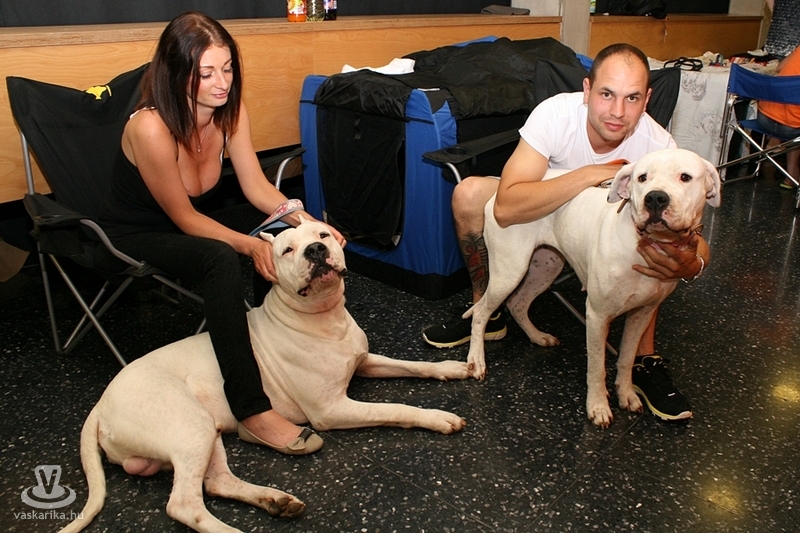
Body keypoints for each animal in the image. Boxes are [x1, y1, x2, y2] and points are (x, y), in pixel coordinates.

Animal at [61, 219, 468, 533]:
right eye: (287, 250)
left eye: (322, 235)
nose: (315, 252)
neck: (324, 318)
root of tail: (99, 406)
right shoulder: (332, 410)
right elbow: (396, 408)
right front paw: (437, 417)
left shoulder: (366, 361)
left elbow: (412, 365)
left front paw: (452, 367)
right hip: (188, 427)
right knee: (183, 504)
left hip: (206, 432)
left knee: (216, 482)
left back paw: (276, 500)